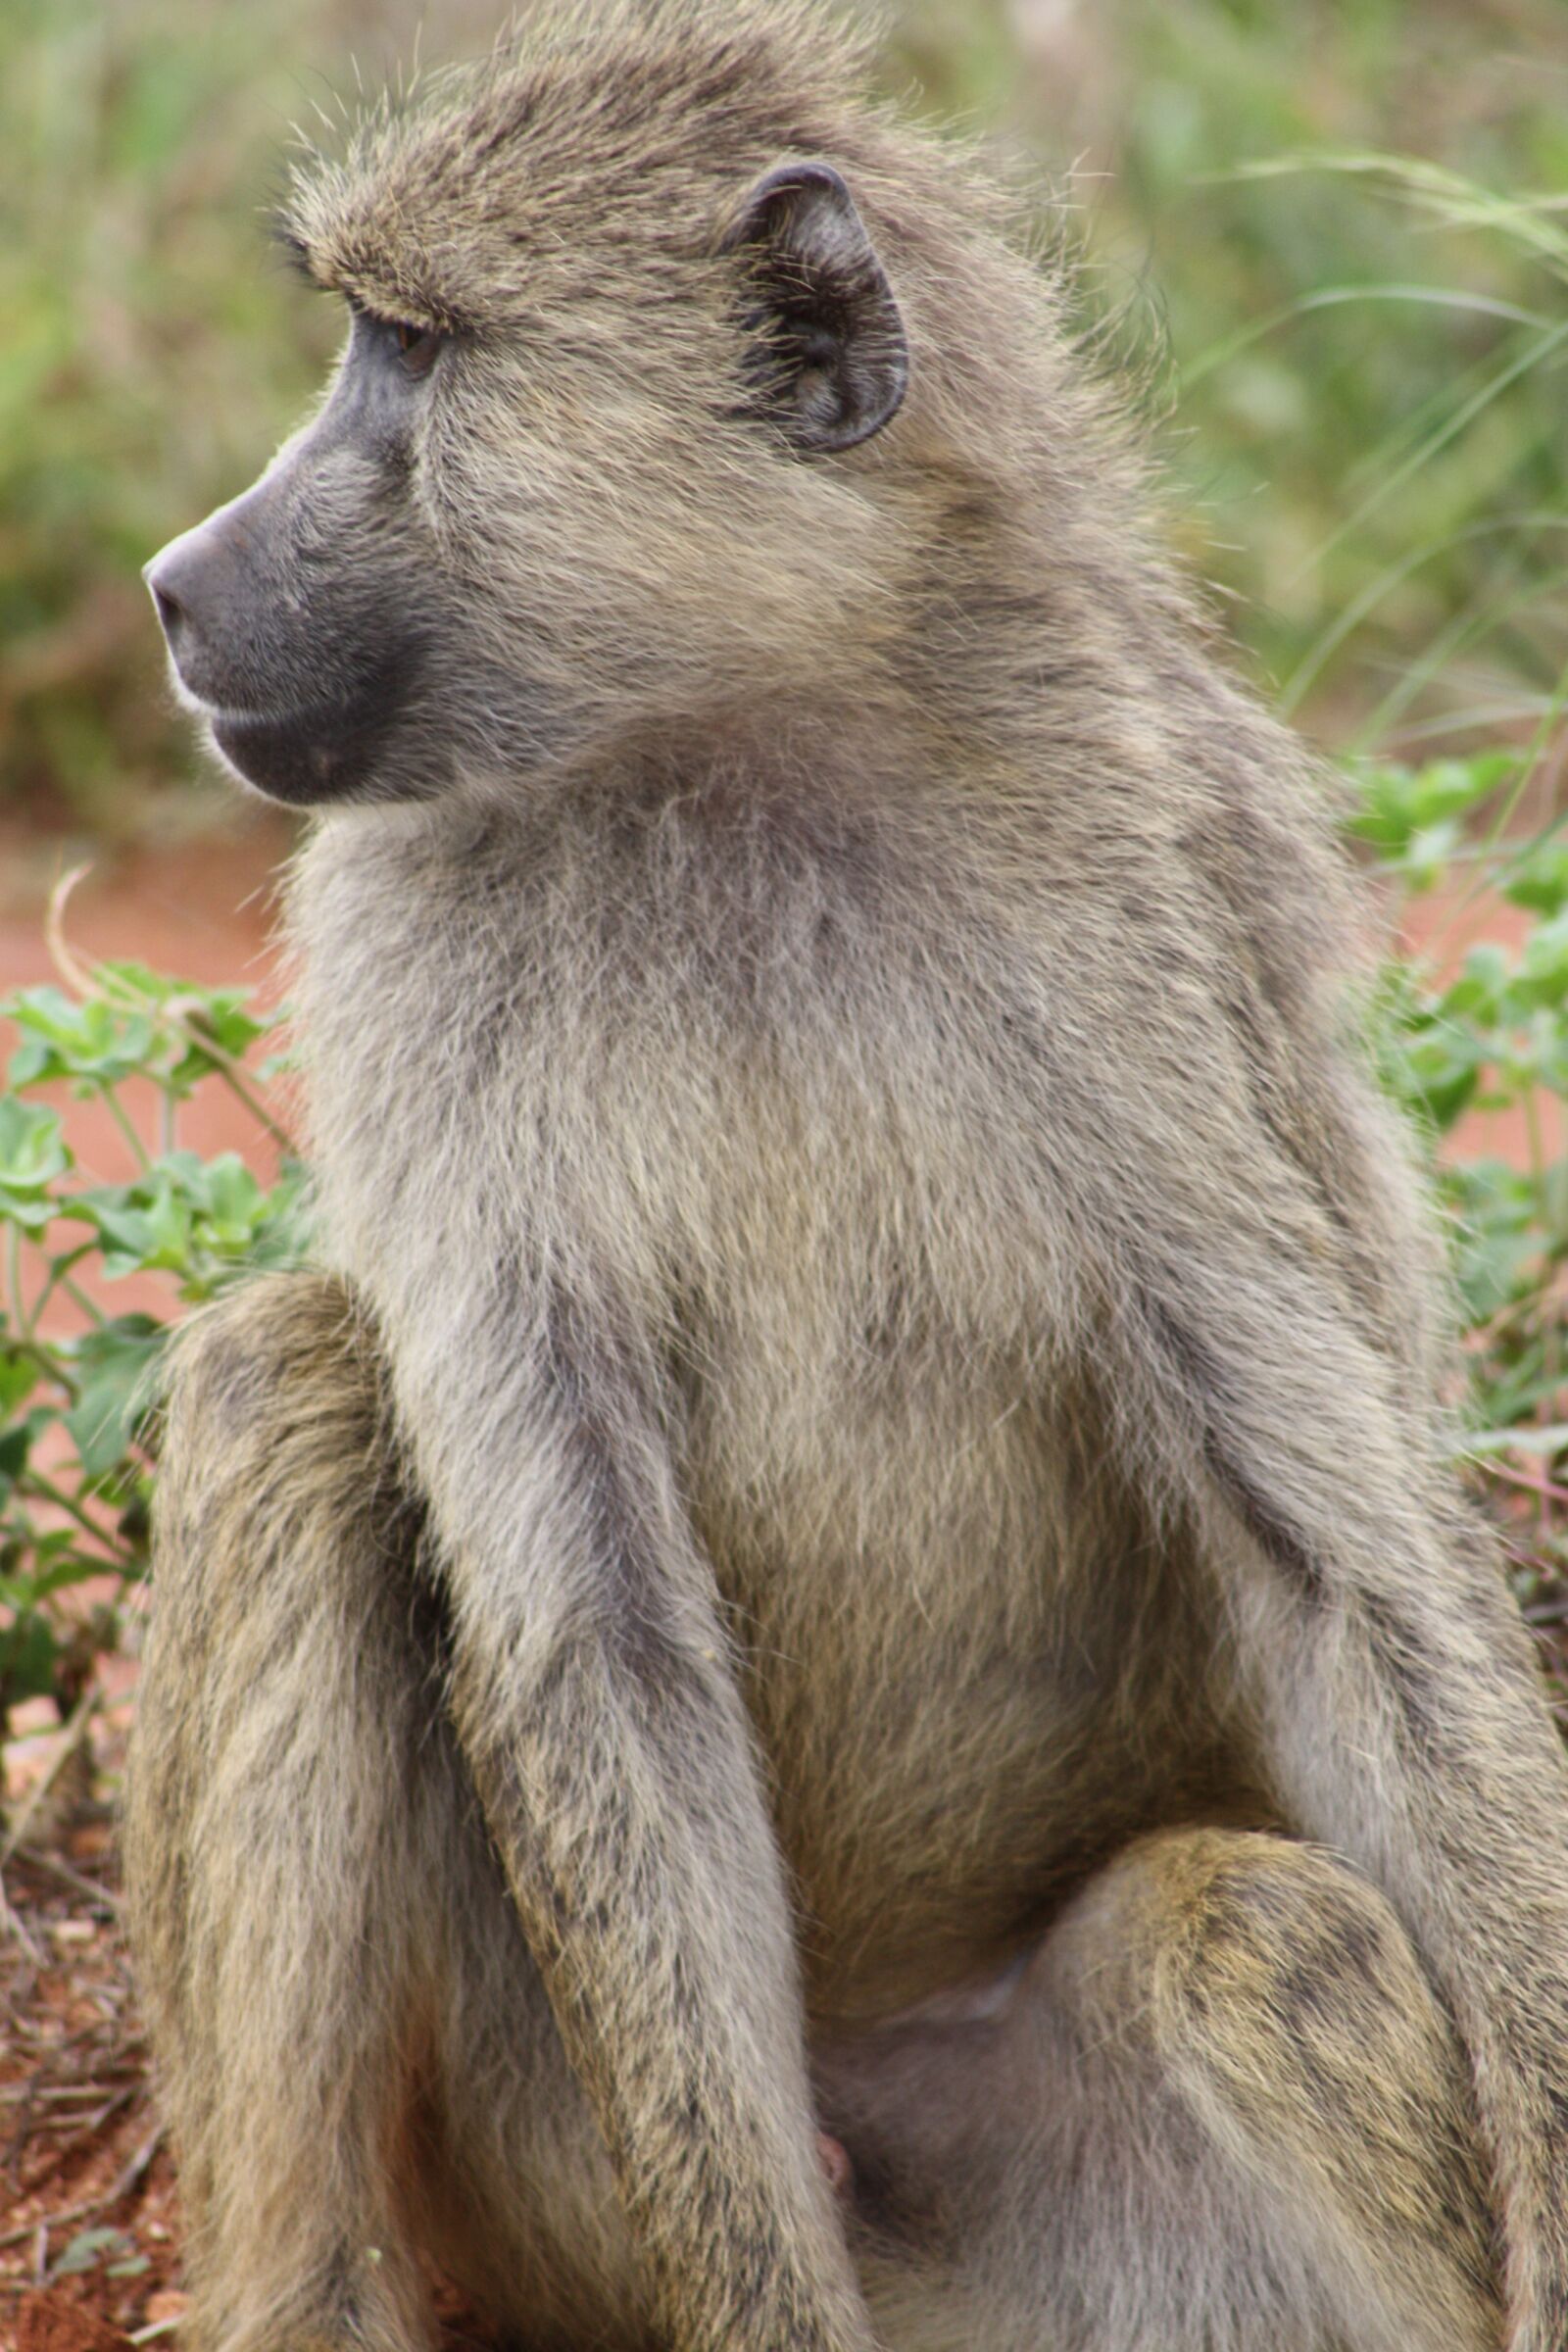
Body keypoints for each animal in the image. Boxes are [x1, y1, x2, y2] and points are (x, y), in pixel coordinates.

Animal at [121, 2, 1568, 2348]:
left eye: (410, 355)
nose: (175, 587)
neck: (734, 747)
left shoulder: (1138, 878)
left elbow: (1332, 1558)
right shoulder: (396, 926)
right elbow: (595, 1630)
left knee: (1265, 1942)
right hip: (546, 2172)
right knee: (287, 1378)